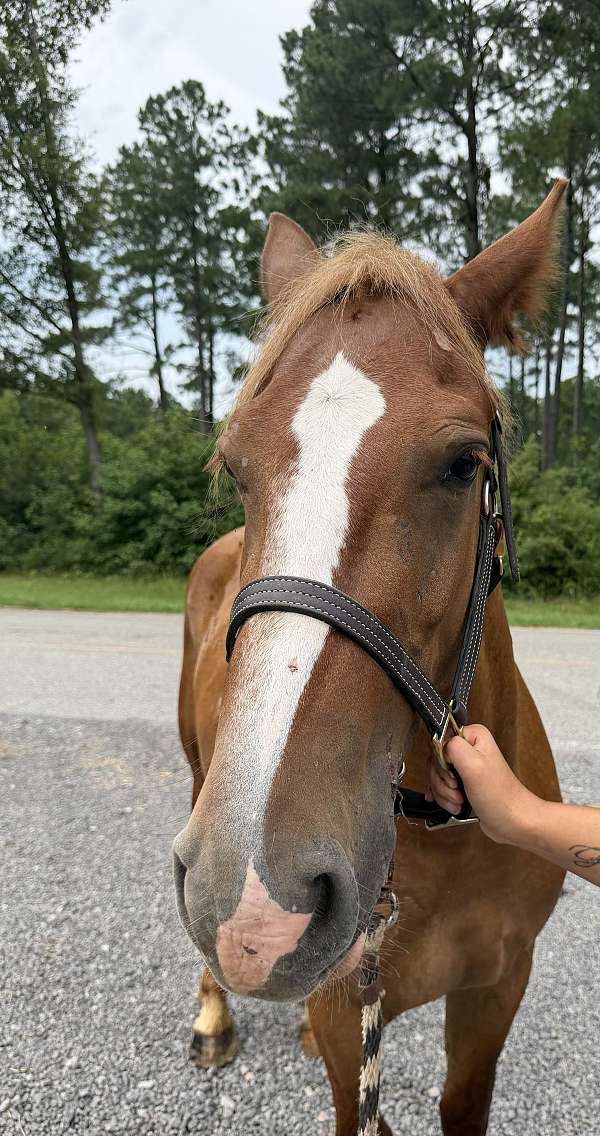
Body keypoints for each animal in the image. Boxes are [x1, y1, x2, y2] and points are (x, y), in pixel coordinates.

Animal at [174, 180, 566, 1135]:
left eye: (464, 462)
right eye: (235, 464)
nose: (254, 897)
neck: (442, 836)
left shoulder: (497, 988)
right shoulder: (347, 1024)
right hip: (199, 771)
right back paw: (212, 1012)